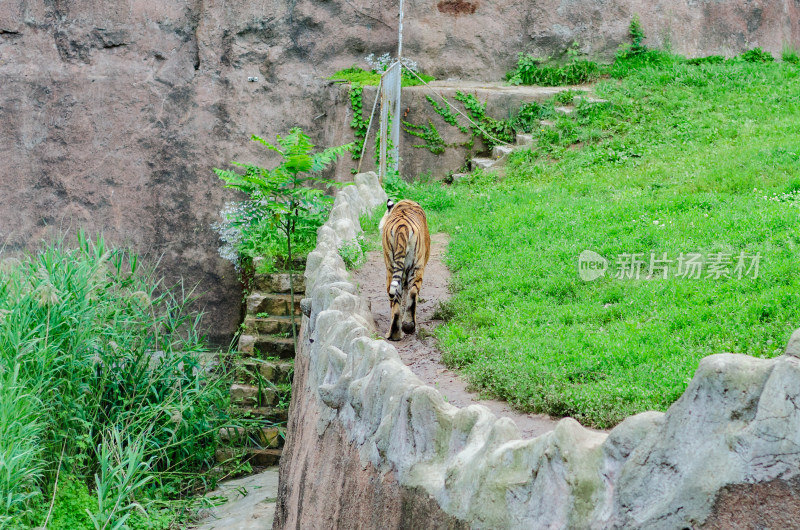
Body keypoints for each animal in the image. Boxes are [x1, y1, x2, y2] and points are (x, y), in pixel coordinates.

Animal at [382, 197, 432, 338]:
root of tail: (402, 228)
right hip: (416, 267)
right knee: (412, 292)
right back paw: (406, 328)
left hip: (392, 268)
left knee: (397, 297)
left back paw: (397, 332)